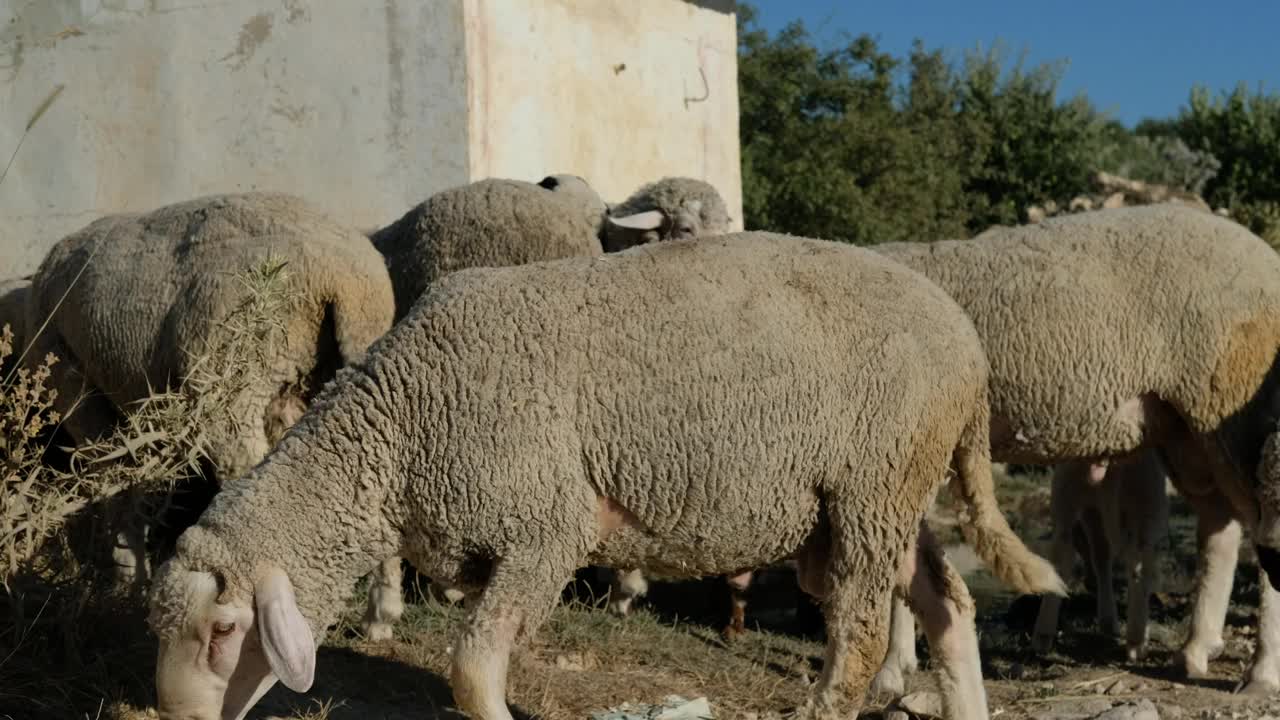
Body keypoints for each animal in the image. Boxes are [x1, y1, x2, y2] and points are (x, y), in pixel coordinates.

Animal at [145, 230, 1064, 717]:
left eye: (225, 632)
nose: (177, 714)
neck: (398, 430)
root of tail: (966, 342)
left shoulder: (541, 533)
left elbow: (472, 669)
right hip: (883, 497)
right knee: (948, 604)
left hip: (874, 485)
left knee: (865, 633)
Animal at [865, 203, 1280, 696]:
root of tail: (1265, 255)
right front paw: (899, 663)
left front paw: (890, 670)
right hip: (1185, 431)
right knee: (1219, 527)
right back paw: (1194, 649)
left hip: (1233, 408)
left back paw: (1261, 672)